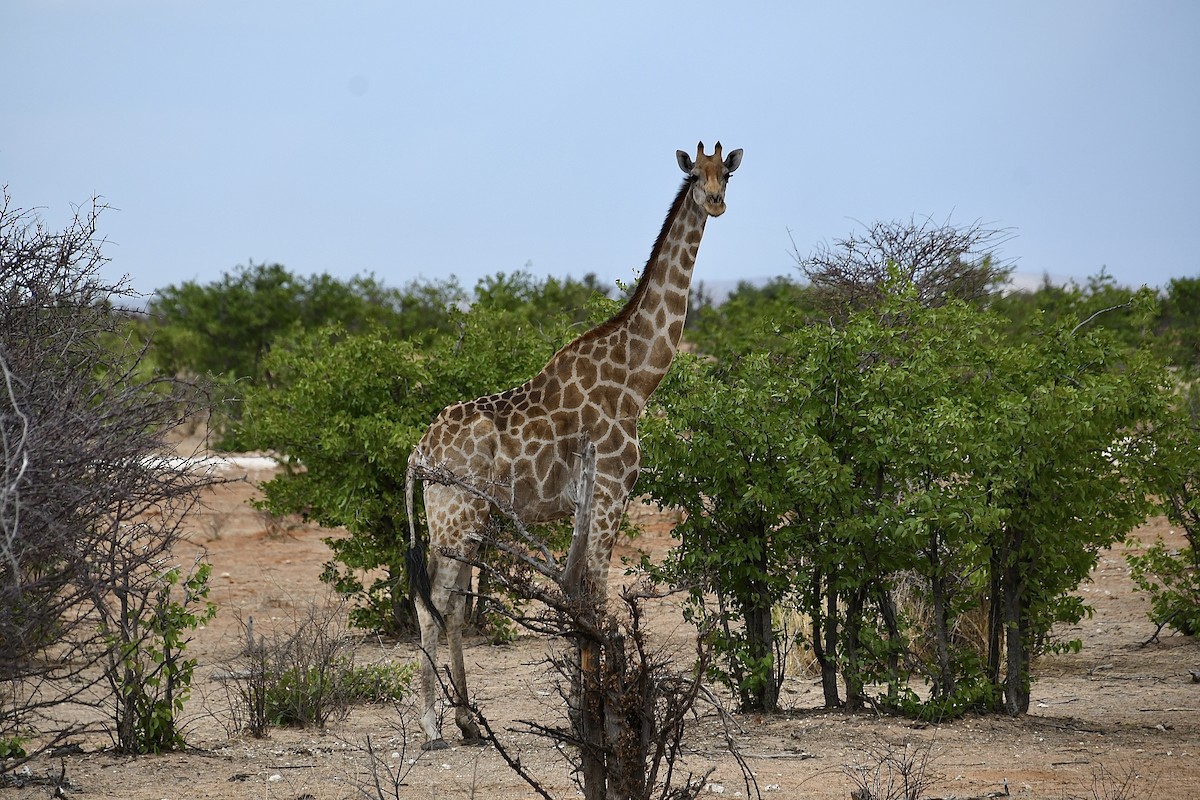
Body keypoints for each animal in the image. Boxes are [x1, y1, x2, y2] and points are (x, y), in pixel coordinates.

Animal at [404, 141, 743, 749]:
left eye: (725, 173)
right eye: (693, 175)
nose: (715, 202)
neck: (638, 380)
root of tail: (419, 452)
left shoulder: (590, 501)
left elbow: (584, 601)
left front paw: (591, 710)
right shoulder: (611, 488)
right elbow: (601, 597)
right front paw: (607, 716)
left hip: (466, 520)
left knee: (455, 606)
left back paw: (467, 721)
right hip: (453, 516)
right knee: (434, 604)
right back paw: (432, 726)